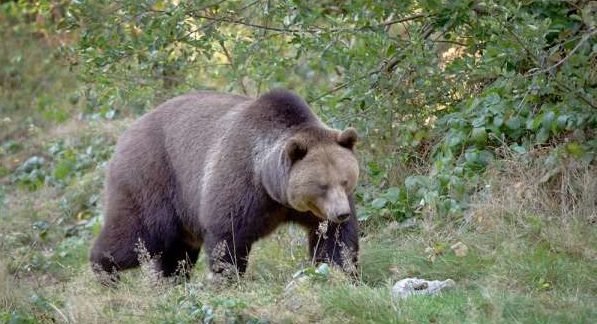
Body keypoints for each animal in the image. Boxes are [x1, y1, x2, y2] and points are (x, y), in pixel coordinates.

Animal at [88, 88, 358, 284]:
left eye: (345, 180)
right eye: (322, 185)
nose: (341, 213)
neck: (271, 186)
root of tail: (124, 136)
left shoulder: (312, 210)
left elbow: (335, 241)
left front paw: (342, 274)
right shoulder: (240, 183)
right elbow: (228, 236)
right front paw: (228, 279)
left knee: (174, 254)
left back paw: (169, 282)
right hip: (153, 179)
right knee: (137, 236)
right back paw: (104, 271)